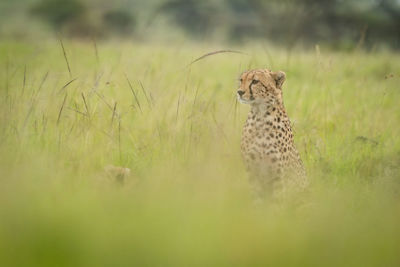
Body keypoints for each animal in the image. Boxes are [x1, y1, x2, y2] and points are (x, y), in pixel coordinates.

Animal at [238, 69, 306, 199]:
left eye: (255, 81)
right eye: (241, 80)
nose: (239, 92)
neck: (260, 115)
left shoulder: (278, 175)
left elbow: (277, 199)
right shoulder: (251, 171)